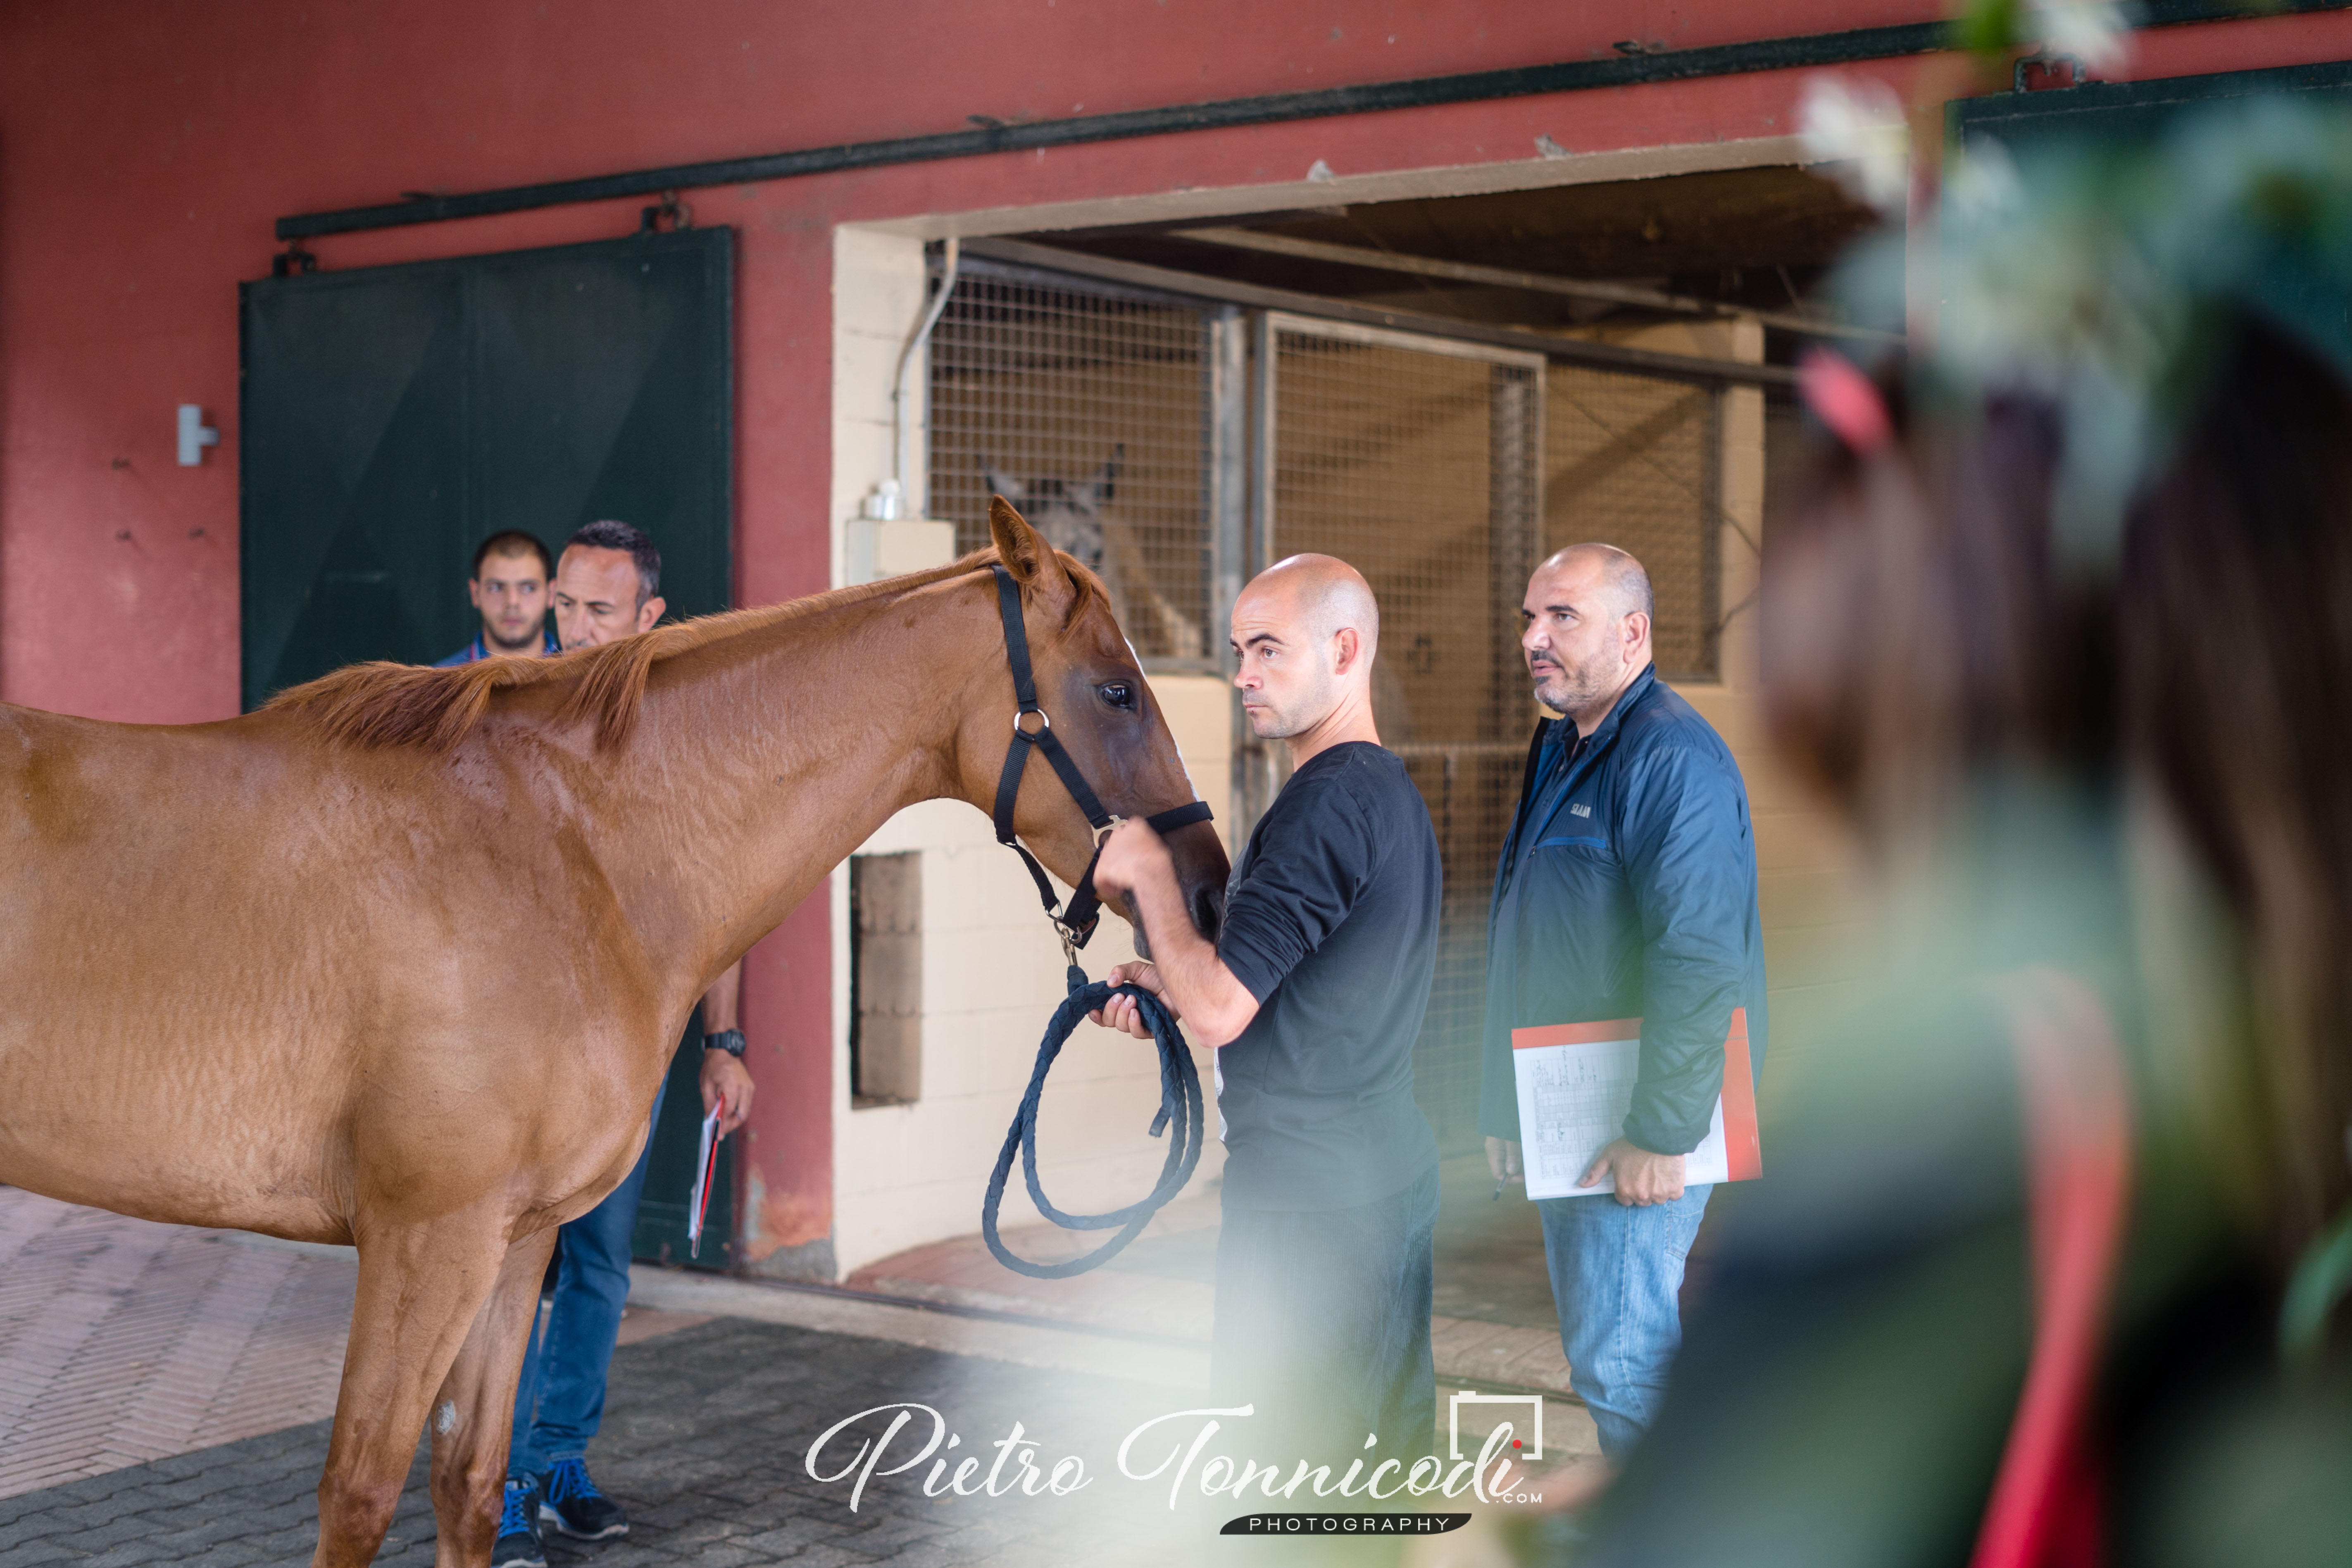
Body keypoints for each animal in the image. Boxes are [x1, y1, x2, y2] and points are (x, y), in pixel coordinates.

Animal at [0, 505, 1232, 1568]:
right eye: (1117, 690)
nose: (1211, 891)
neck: (566, 849)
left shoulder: (510, 1243)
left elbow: (468, 1481)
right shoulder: (424, 1239)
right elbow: (358, 1491)